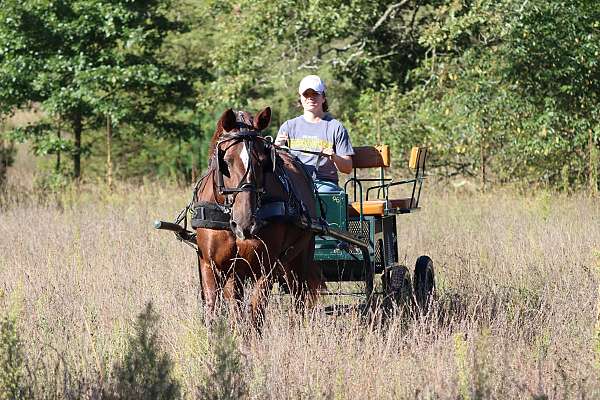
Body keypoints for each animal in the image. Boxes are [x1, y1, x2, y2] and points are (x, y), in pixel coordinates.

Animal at [192, 108, 324, 326]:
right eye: (226, 162)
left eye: (263, 163)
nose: (245, 224)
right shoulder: (211, 265)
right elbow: (215, 311)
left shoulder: (265, 268)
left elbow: (255, 317)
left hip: (299, 259)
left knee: (299, 300)